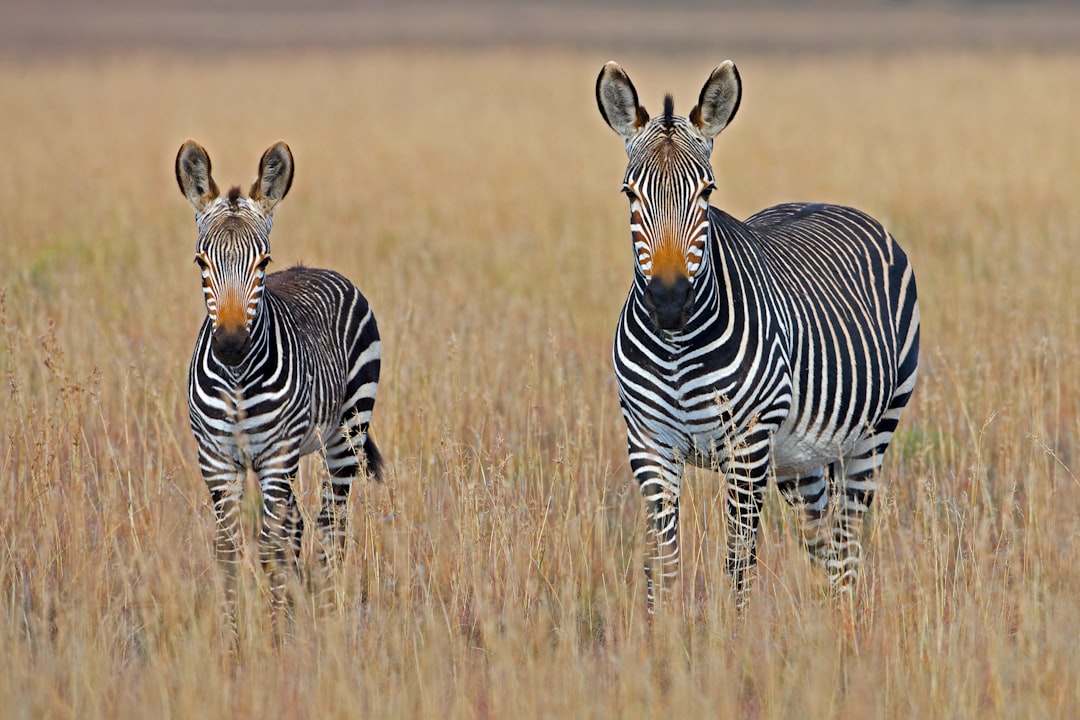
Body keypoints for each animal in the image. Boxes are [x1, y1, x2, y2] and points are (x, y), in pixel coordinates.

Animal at [175, 140, 383, 623]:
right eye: (200, 260)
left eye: (263, 261)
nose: (231, 344)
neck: (236, 380)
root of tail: (314, 268)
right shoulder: (216, 461)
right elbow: (229, 553)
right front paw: (234, 637)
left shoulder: (276, 459)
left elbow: (270, 551)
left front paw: (274, 638)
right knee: (301, 524)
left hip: (346, 436)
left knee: (330, 527)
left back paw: (326, 615)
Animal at [596, 61, 920, 611]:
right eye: (629, 194)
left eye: (706, 192)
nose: (669, 302)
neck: (676, 349)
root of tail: (827, 201)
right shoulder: (649, 446)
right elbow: (662, 568)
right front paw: (658, 635)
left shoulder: (747, 447)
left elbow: (737, 566)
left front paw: (732, 634)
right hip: (799, 459)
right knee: (822, 544)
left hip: (872, 434)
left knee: (847, 546)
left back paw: (846, 625)